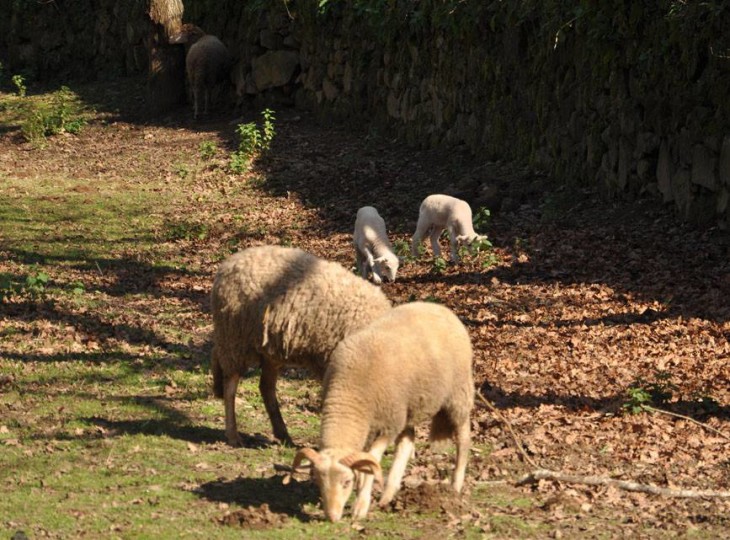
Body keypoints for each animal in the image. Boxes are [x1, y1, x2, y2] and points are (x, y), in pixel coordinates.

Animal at [210, 247, 392, 446]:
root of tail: (229, 264)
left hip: (269, 350)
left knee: (265, 387)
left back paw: (283, 434)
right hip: (235, 339)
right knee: (230, 385)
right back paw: (233, 435)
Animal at [292, 302, 474, 520]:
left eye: (346, 482)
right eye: (319, 482)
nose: (332, 517)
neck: (350, 394)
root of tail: (439, 307)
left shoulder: (388, 424)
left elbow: (373, 459)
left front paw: (361, 505)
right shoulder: (373, 426)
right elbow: (365, 461)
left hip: (458, 393)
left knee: (463, 437)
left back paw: (456, 485)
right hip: (409, 408)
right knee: (406, 442)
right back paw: (388, 494)